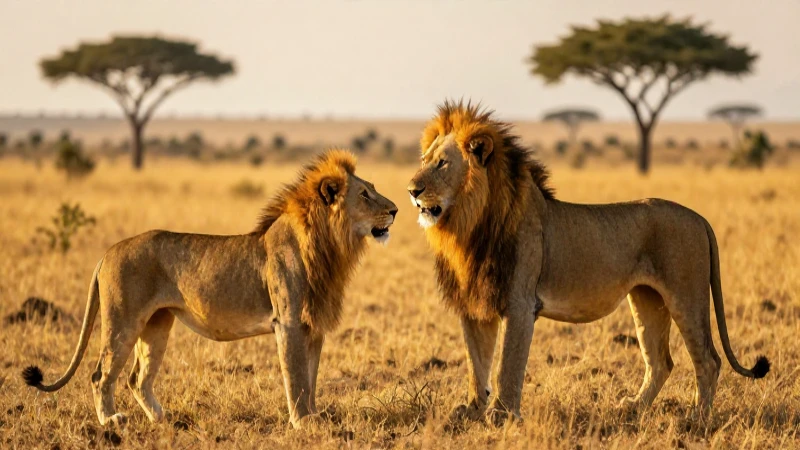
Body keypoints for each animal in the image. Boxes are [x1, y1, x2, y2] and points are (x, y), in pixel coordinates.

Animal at [22, 149, 398, 429]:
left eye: (372, 188)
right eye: (365, 195)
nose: (395, 210)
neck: (329, 245)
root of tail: (107, 252)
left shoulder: (313, 326)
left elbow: (311, 377)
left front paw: (315, 416)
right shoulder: (289, 322)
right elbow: (296, 377)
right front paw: (303, 422)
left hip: (157, 325)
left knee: (137, 379)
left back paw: (164, 420)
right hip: (122, 322)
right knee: (101, 375)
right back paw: (111, 421)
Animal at [407, 100, 769, 425]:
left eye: (442, 164)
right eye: (424, 160)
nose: (412, 189)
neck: (470, 226)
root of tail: (700, 218)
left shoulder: (520, 304)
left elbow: (506, 366)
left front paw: (501, 415)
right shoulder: (475, 304)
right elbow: (476, 364)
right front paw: (472, 410)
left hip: (686, 296)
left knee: (708, 360)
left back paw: (697, 419)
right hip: (647, 300)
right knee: (661, 362)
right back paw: (633, 408)